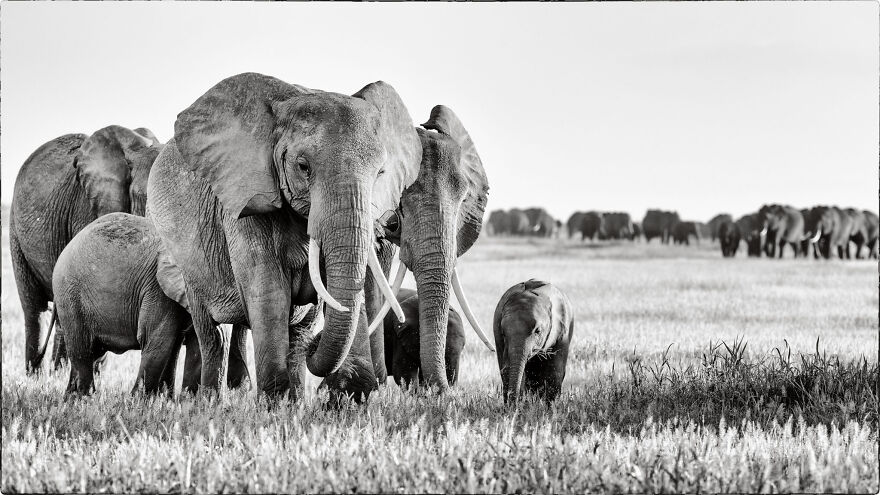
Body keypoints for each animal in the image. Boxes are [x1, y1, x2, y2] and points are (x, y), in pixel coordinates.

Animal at [146, 73, 422, 400]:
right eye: (303, 167)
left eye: (381, 173)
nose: (315, 347)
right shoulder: (246, 196)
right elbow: (268, 288)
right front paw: (275, 401)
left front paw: (349, 393)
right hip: (189, 267)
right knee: (213, 335)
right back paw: (210, 401)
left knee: (298, 329)